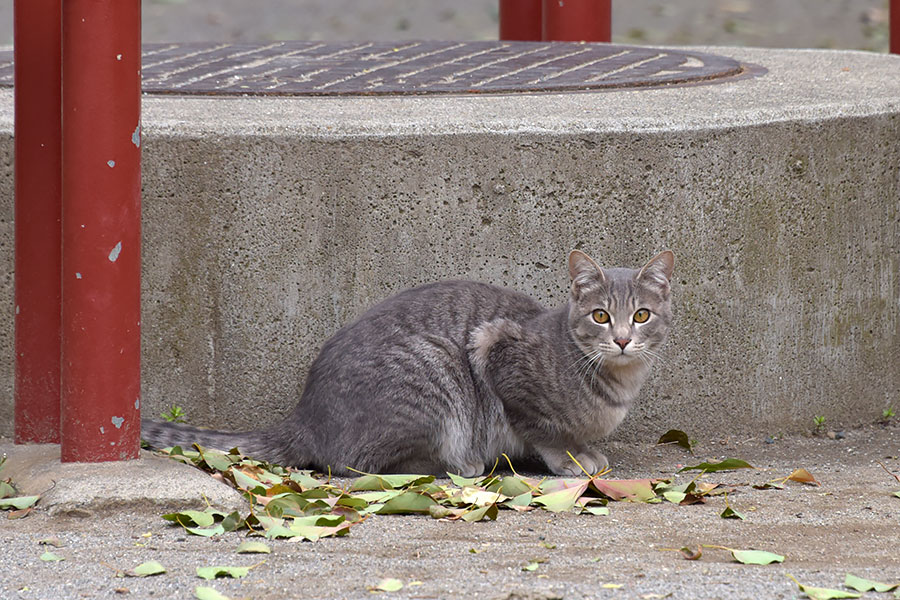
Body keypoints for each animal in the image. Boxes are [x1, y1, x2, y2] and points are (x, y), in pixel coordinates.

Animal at [142, 247, 676, 474]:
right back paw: (460, 465)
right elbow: (545, 431)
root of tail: (305, 416)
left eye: (641, 315)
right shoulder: (496, 354)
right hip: (436, 372)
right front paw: (572, 458)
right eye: (601, 315)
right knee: (356, 465)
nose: (622, 340)